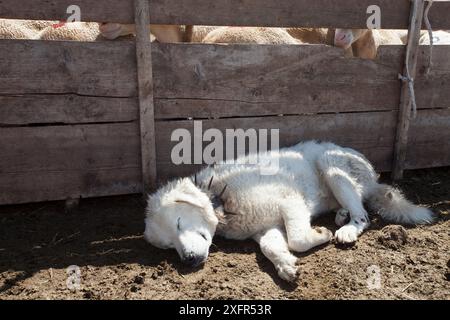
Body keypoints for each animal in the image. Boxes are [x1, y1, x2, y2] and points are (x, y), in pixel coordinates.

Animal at [143, 141, 432, 282]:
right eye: (169, 246)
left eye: (179, 223)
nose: (189, 259)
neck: (222, 198)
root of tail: (373, 176)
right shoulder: (265, 229)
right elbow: (270, 247)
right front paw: (286, 266)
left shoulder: (290, 201)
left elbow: (298, 239)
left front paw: (321, 234)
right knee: (356, 205)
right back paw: (341, 216)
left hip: (331, 165)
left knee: (363, 214)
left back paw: (347, 229)